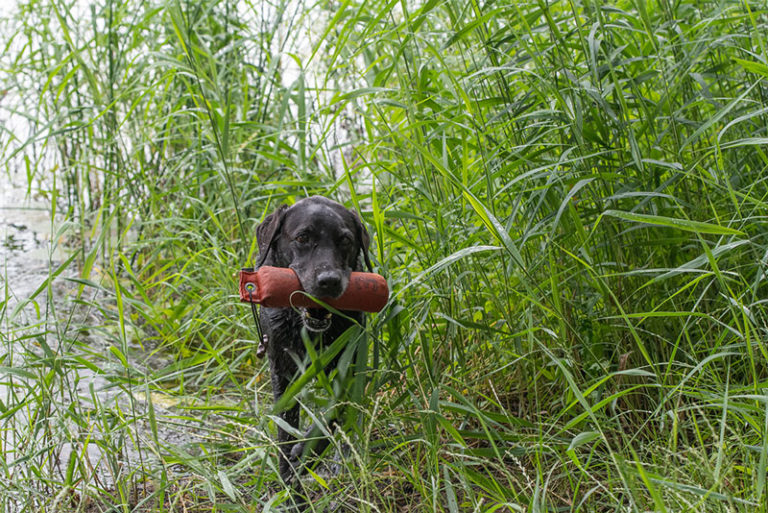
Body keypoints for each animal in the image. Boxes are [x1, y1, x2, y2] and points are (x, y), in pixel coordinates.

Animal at [255, 195, 372, 480]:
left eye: (345, 240)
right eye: (302, 238)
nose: (329, 280)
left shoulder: (350, 362)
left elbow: (336, 409)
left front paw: (307, 451)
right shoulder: (282, 369)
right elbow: (285, 427)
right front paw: (288, 475)